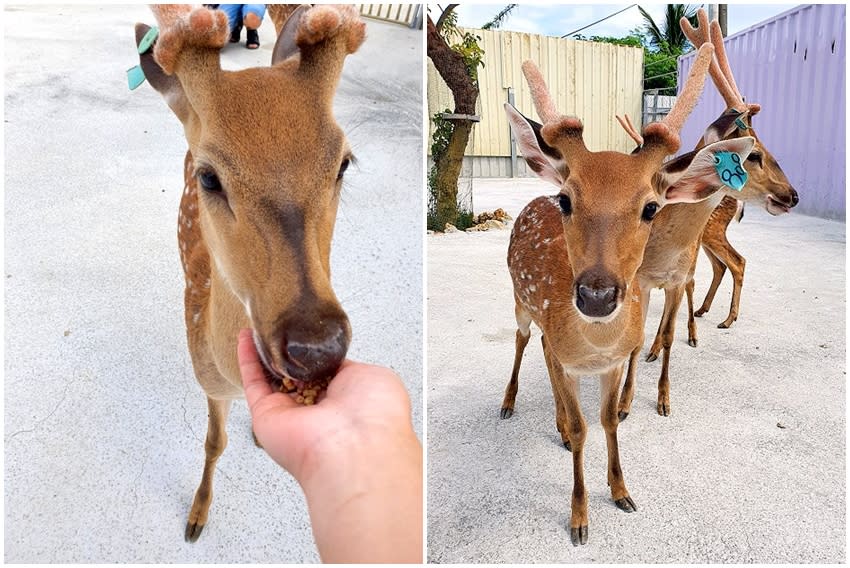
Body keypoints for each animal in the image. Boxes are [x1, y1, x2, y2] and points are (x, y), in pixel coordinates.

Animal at [131, 5, 362, 544]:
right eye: (209, 176)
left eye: (344, 162)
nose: (316, 346)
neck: (230, 371)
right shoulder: (209, 383)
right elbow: (213, 442)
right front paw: (196, 517)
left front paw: (260, 434)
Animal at [496, 42, 756, 544]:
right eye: (567, 200)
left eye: (651, 207)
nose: (596, 296)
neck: (594, 346)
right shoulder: (568, 354)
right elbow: (583, 429)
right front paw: (579, 519)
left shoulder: (614, 361)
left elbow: (609, 419)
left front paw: (621, 492)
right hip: (520, 302)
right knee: (521, 340)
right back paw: (509, 404)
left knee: (542, 349)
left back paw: (556, 424)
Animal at [608, 6, 796, 420]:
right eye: (753, 155)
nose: (792, 195)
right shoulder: (640, 281)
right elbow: (635, 337)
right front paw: (624, 404)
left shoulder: (677, 276)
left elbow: (669, 331)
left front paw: (663, 399)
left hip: (701, 250)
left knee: (712, 278)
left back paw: (702, 327)